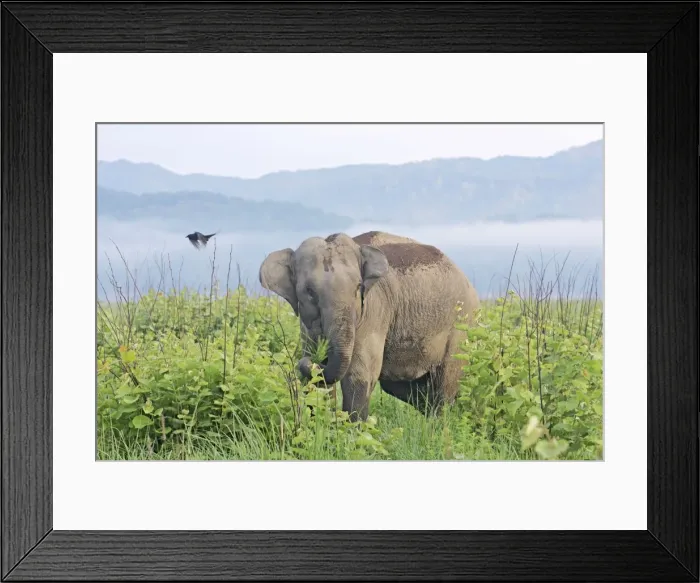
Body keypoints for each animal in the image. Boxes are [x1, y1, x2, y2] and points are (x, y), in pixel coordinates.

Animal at [259, 230, 480, 421]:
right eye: (309, 291)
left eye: (358, 288)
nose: (305, 361)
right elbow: (319, 381)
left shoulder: (374, 309)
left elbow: (358, 376)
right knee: (404, 388)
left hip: (461, 325)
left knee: (444, 389)